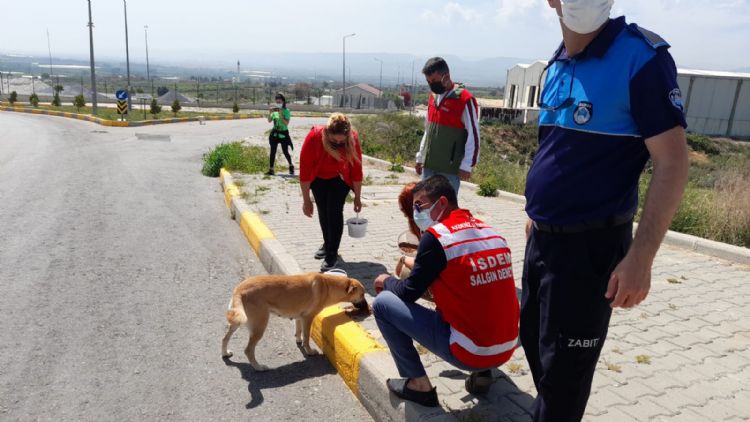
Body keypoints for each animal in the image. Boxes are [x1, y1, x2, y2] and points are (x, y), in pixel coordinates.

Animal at [220, 272, 370, 370]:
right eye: (362, 294)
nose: (368, 308)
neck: (328, 286)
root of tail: (240, 289)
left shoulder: (299, 317)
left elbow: (298, 331)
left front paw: (298, 340)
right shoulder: (308, 318)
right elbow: (307, 337)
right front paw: (309, 351)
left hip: (236, 322)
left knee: (224, 338)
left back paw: (225, 353)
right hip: (259, 326)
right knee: (248, 350)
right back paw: (258, 367)